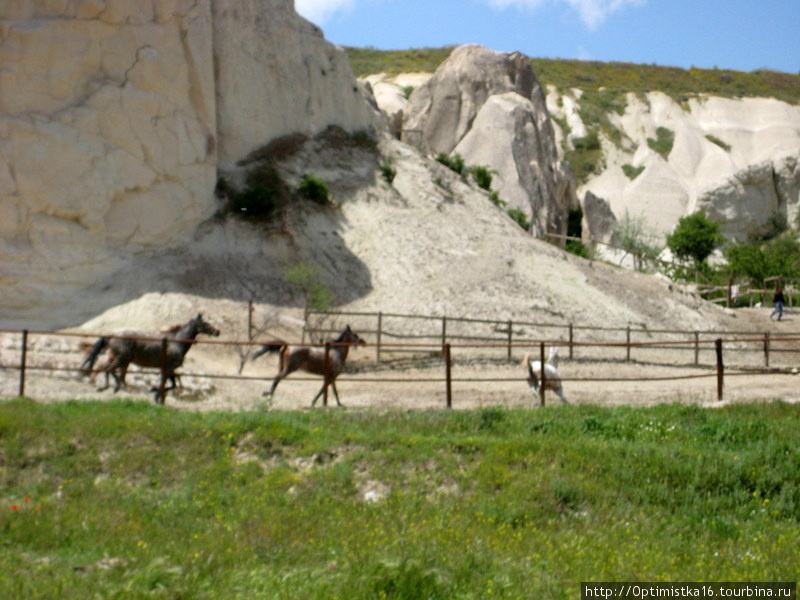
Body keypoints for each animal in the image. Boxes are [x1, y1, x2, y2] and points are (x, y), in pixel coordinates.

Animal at [78, 314, 219, 404]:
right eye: (206, 323)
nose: (217, 332)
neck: (176, 343)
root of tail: (112, 336)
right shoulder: (169, 368)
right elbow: (166, 383)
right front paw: (156, 395)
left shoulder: (170, 369)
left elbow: (171, 384)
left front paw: (155, 393)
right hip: (122, 359)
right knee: (109, 370)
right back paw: (111, 387)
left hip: (121, 360)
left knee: (109, 370)